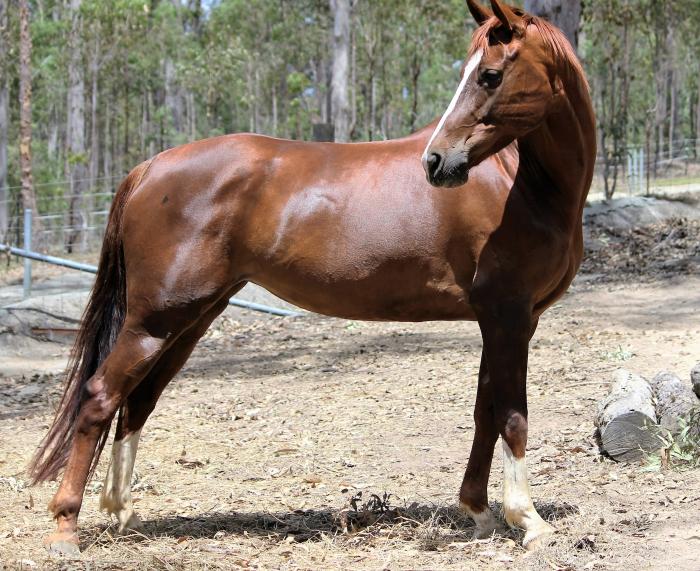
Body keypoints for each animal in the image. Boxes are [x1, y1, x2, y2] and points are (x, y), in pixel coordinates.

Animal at [30, 0, 595, 555]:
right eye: (472, 73)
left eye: (490, 74)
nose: (436, 162)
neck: (520, 183)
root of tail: (149, 167)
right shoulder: (508, 316)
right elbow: (512, 416)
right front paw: (529, 520)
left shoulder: (501, 321)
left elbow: (485, 412)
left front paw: (478, 513)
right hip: (156, 319)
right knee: (101, 395)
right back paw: (65, 528)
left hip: (189, 319)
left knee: (137, 401)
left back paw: (122, 512)